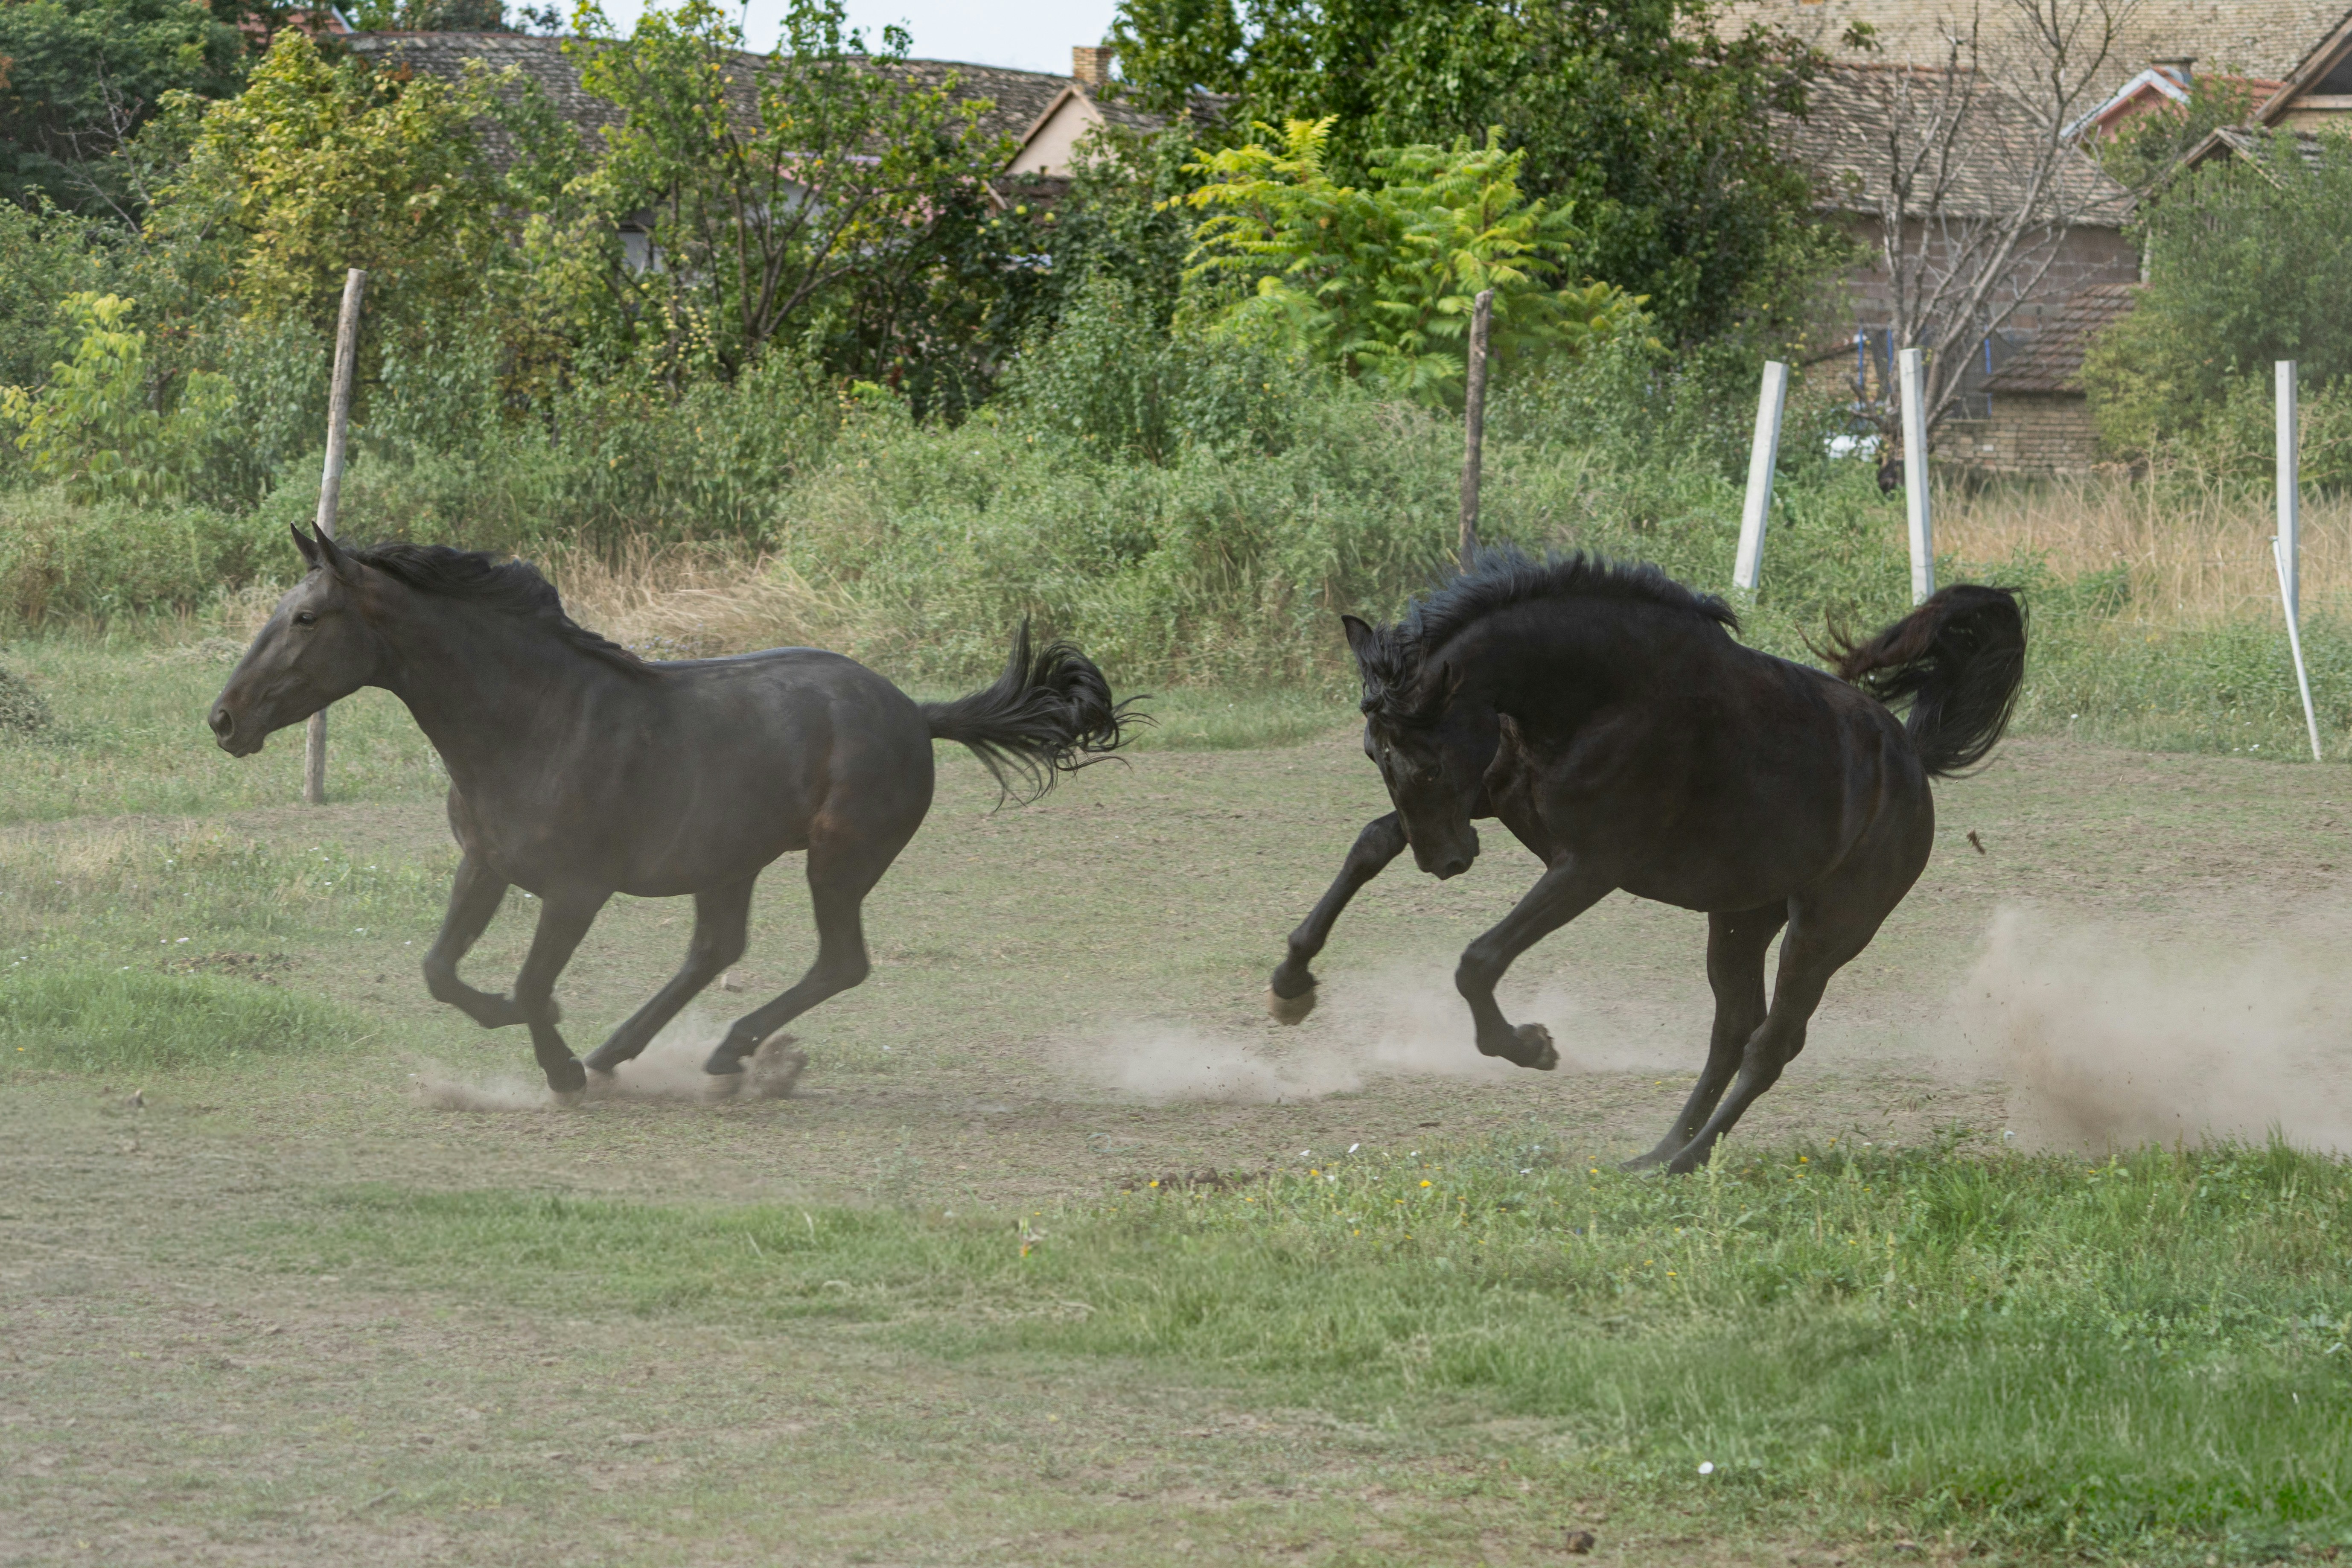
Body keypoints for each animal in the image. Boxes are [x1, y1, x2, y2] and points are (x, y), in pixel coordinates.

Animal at [209, 526, 1137, 1101]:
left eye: (305, 616)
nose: (223, 718)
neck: (532, 720)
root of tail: (916, 711)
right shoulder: (485, 864)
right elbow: (440, 969)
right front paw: (547, 1040)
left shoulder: (576, 889)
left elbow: (529, 980)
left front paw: (556, 1063)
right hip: (730, 861)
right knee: (717, 950)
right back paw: (627, 1051)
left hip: (837, 860)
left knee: (838, 962)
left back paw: (720, 1052)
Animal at [1266, 549, 2026, 1173]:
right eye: (1373, 754)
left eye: (1424, 764)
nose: (1445, 863)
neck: (1595, 695)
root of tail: (1909, 760)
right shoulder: (1492, 801)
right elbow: (1370, 843)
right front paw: (1290, 982)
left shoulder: (1588, 866)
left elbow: (1477, 960)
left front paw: (1530, 1045)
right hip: (1739, 918)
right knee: (1732, 1030)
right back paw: (1655, 1152)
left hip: (1825, 930)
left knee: (1771, 1042)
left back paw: (1685, 1159)